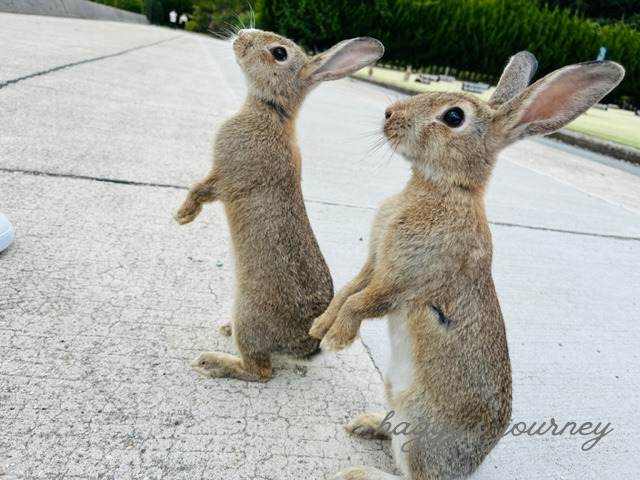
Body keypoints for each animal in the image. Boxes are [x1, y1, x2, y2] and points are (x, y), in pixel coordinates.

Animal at [174, 30, 384, 382]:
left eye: (279, 53)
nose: (241, 36)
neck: (272, 109)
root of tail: (305, 347)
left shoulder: (226, 175)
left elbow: (201, 190)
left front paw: (182, 216)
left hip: (249, 317)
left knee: (260, 370)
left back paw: (211, 362)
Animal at [308, 54, 624, 478]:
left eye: (454, 116)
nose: (389, 114)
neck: (444, 189)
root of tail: (470, 464)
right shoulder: (375, 261)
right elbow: (347, 291)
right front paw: (320, 327)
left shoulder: (404, 280)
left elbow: (361, 302)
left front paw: (336, 340)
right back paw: (366, 423)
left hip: (420, 428)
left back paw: (358, 471)